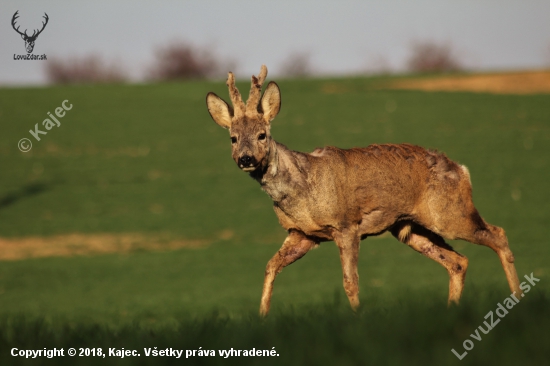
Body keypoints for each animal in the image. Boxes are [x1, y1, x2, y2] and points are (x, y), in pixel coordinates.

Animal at [206, 66, 520, 318]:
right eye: (233, 138)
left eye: (262, 135)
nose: (246, 158)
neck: (301, 189)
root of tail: (461, 169)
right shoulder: (302, 233)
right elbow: (270, 267)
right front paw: (262, 317)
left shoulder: (346, 225)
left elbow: (350, 281)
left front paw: (357, 317)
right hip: (409, 228)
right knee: (458, 262)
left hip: (449, 213)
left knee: (498, 234)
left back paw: (517, 299)